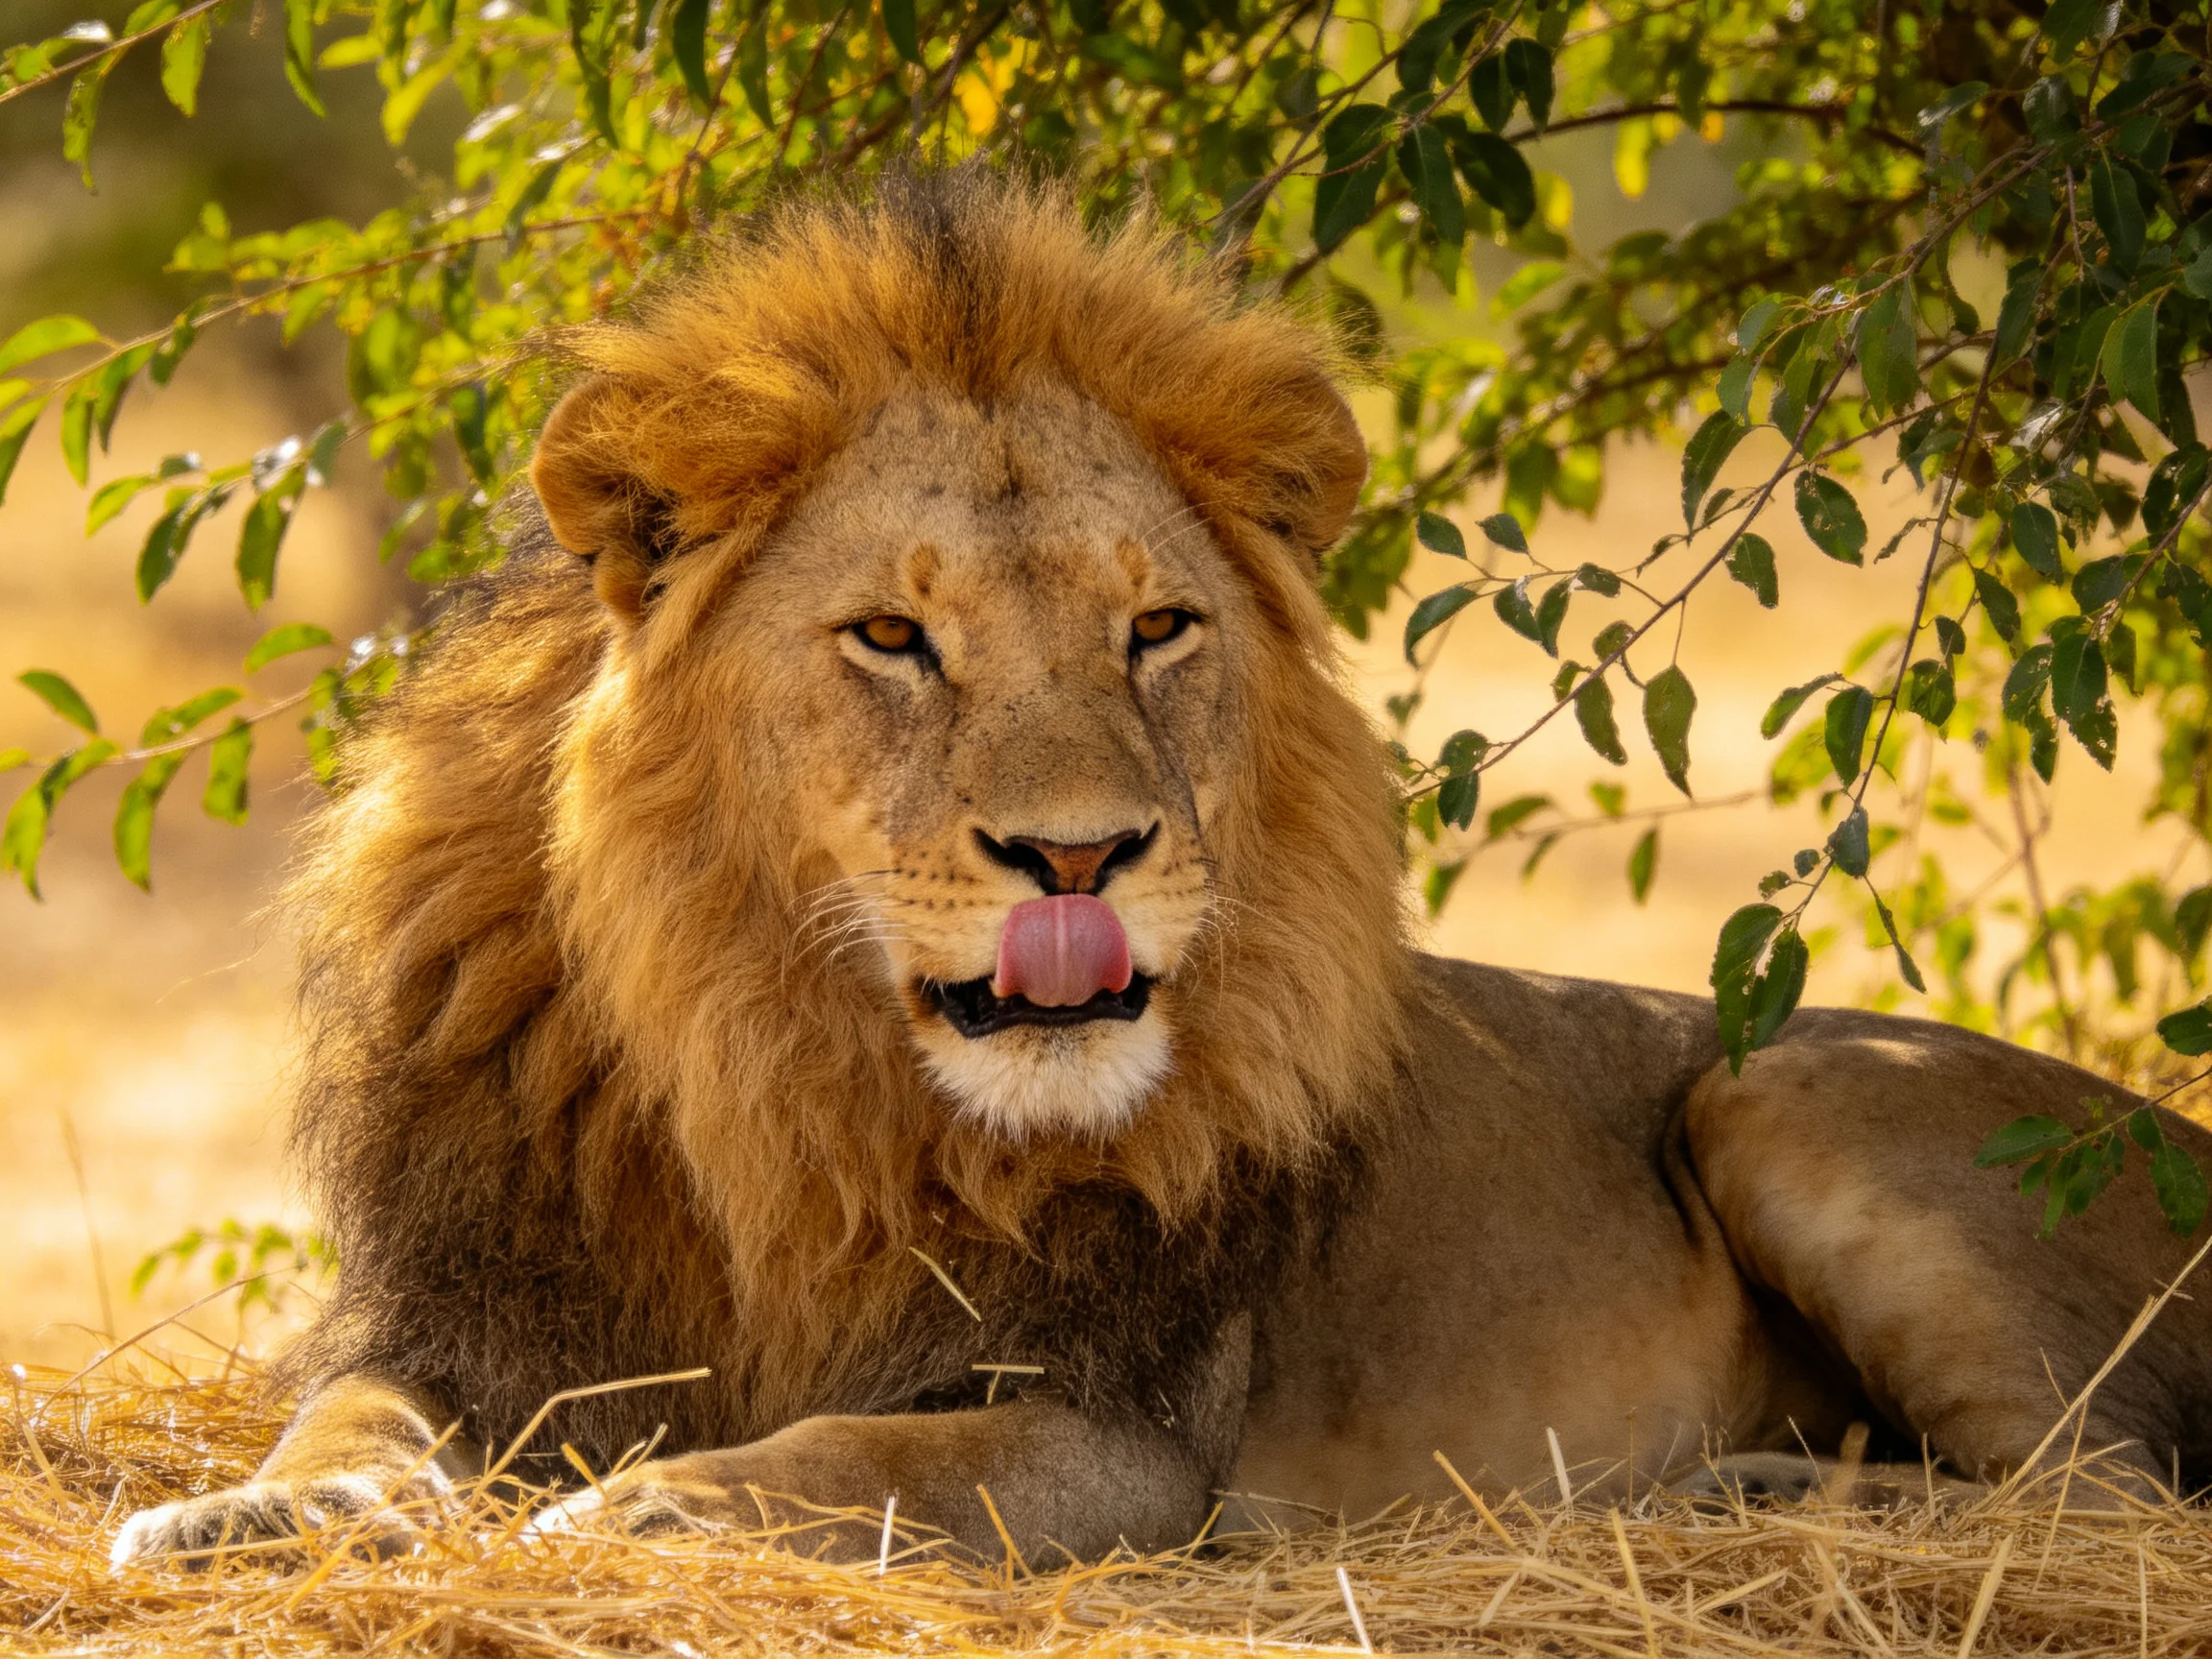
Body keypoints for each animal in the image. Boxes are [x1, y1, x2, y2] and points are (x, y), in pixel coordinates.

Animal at [113, 174, 2212, 1570]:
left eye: (1157, 631)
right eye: (894, 639)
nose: (1081, 851)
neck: (771, 1059)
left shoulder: (1119, 1430)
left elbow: (860, 1459)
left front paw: (651, 1509)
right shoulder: (463, 1317)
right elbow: (352, 1413)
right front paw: (259, 1510)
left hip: (1787, 1090)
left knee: (2097, 1504)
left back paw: (1758, 1495)